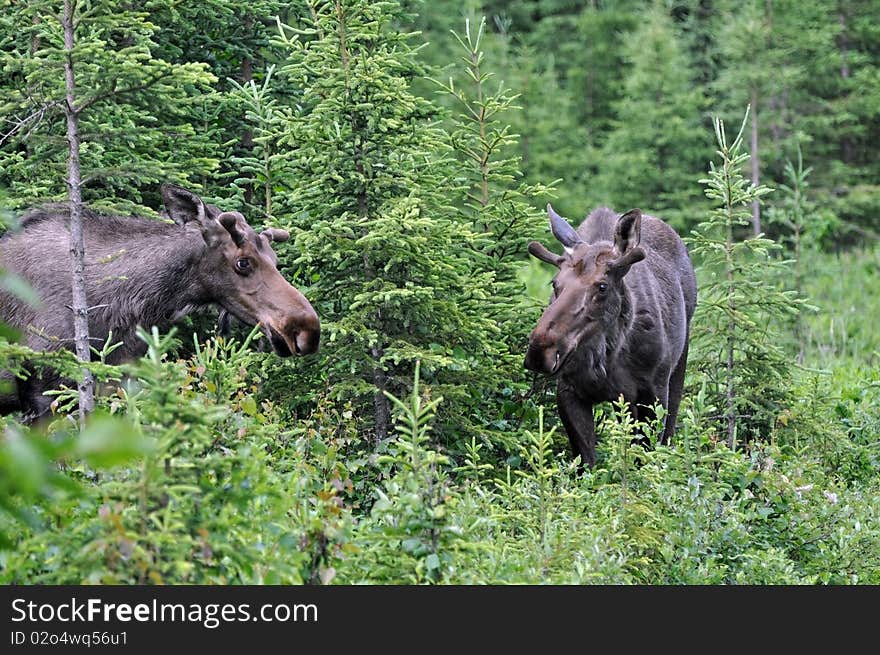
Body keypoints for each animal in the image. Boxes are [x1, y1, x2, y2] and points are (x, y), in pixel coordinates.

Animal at [524, 205, 696, 466]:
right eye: (555, 283)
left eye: (602, 286)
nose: (540, 352)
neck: (606, 357)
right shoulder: (569, 392)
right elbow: (587, 463)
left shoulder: (652, 393)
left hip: (678, 366)